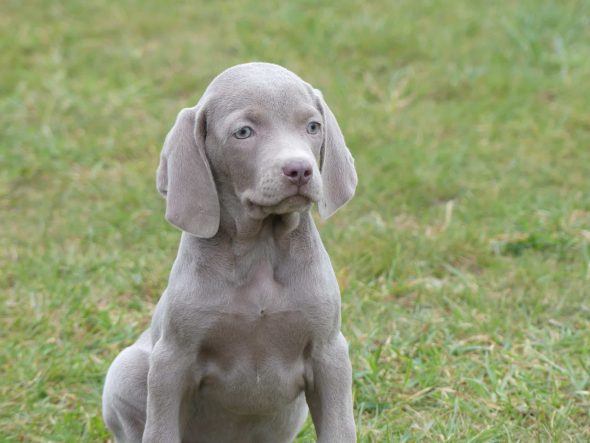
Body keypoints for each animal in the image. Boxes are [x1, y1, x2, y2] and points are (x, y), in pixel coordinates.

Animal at [103, 62, 356, 443]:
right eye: (244, 132)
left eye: (313, 127)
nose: (300, 170)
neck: (261, 249)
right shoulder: (171, 361)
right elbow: (161, 429)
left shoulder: (330, 354)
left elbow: (339, 428)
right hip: (126, 368)